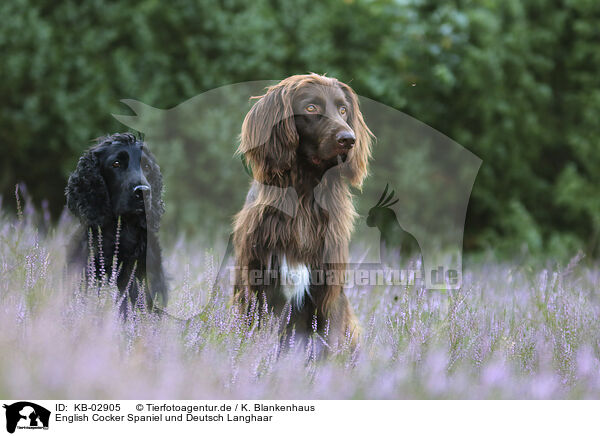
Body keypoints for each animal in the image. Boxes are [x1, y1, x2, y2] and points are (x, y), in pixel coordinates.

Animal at [232, 73, 372, 350]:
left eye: (343, 109)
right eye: (311, 107)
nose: (349, 139)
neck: (304, 197)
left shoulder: (328, 292)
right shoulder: (255, 286)